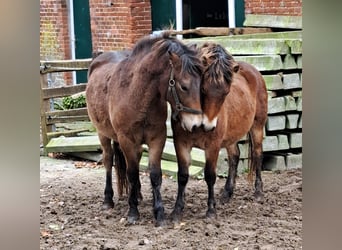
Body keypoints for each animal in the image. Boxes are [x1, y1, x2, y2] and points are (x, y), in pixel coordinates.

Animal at [86, 32, 203, 226]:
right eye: (184, 86)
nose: (196, 125)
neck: (138, 95)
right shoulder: (126, 140)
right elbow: (132, 173)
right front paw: (133, 212)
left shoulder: (157, 139)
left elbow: (155, 175)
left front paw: (159, 213)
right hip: (103, 134)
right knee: (108, 161)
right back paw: (108, 200)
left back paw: (138, 195)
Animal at [170, 43, 268, 223]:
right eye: (202, 89)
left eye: (226, 93)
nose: (209, 126)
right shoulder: (181, 144)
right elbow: (182, 176)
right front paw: (176, 211)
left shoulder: (213, 146)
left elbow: (210, 176)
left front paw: (211, 211)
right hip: (231, 138)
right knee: (234, 157)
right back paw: (227, 193)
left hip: (257, 126)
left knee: (257, 154)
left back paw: (258, 192)